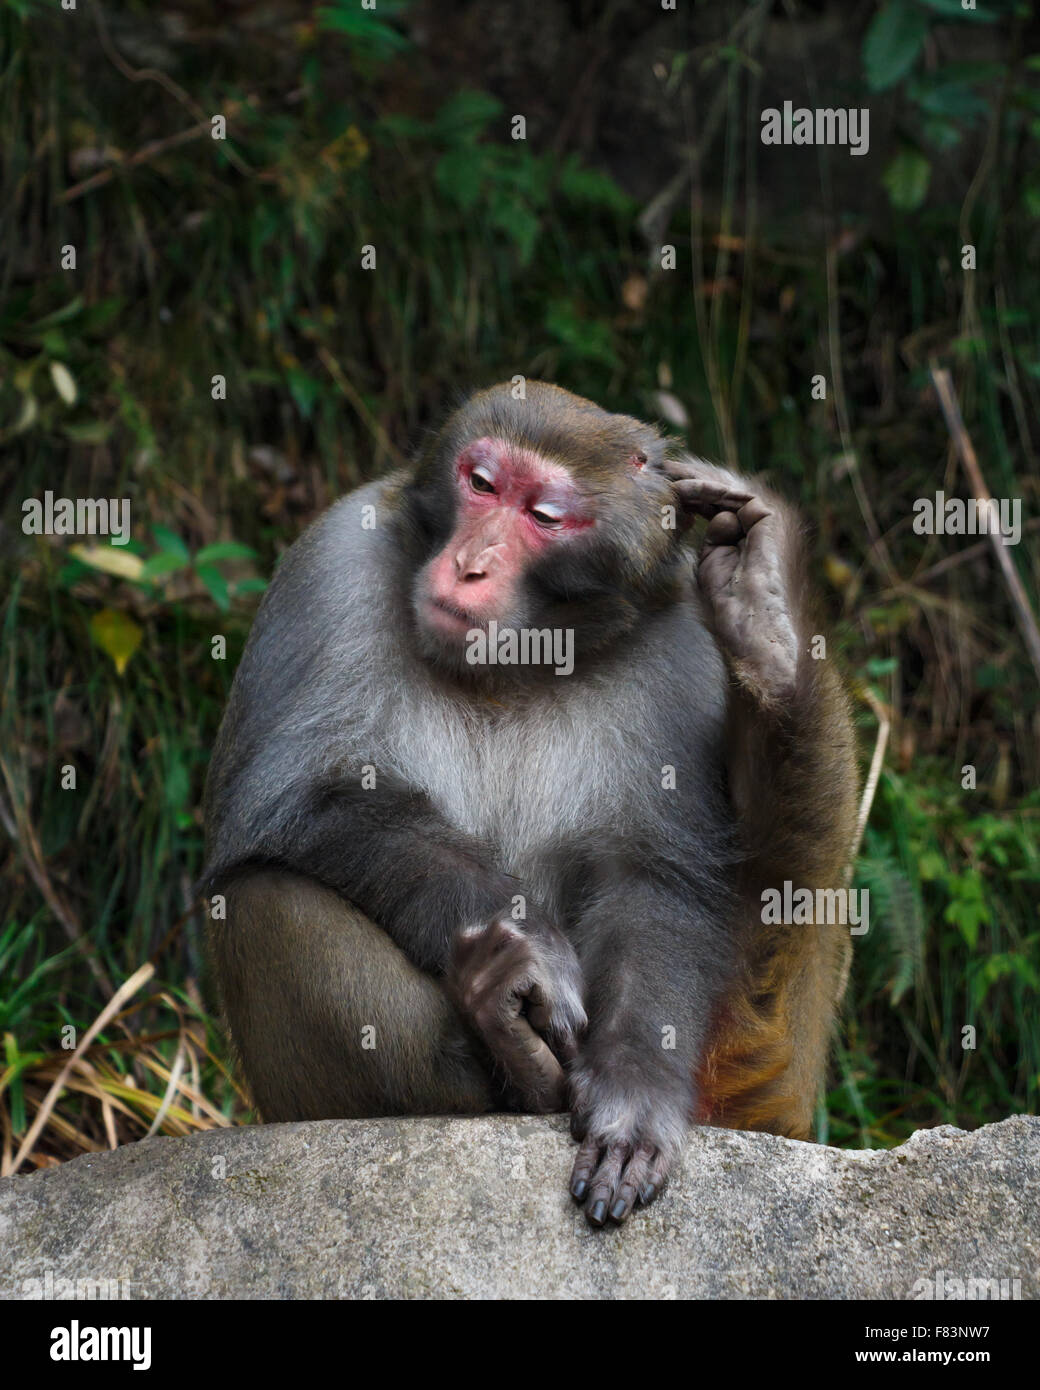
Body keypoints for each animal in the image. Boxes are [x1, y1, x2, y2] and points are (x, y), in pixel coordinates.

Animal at [198, 380, 856, 1228]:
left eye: (544, 516)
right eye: (482, 484)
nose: (470, 565)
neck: (523, 661)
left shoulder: (677, 647)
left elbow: (656, 877)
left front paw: (634, 1087)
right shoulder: (332, 559)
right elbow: (288, 799)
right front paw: (529, 953)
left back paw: (766, 626)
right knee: (261, 899)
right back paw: (505, 1046)